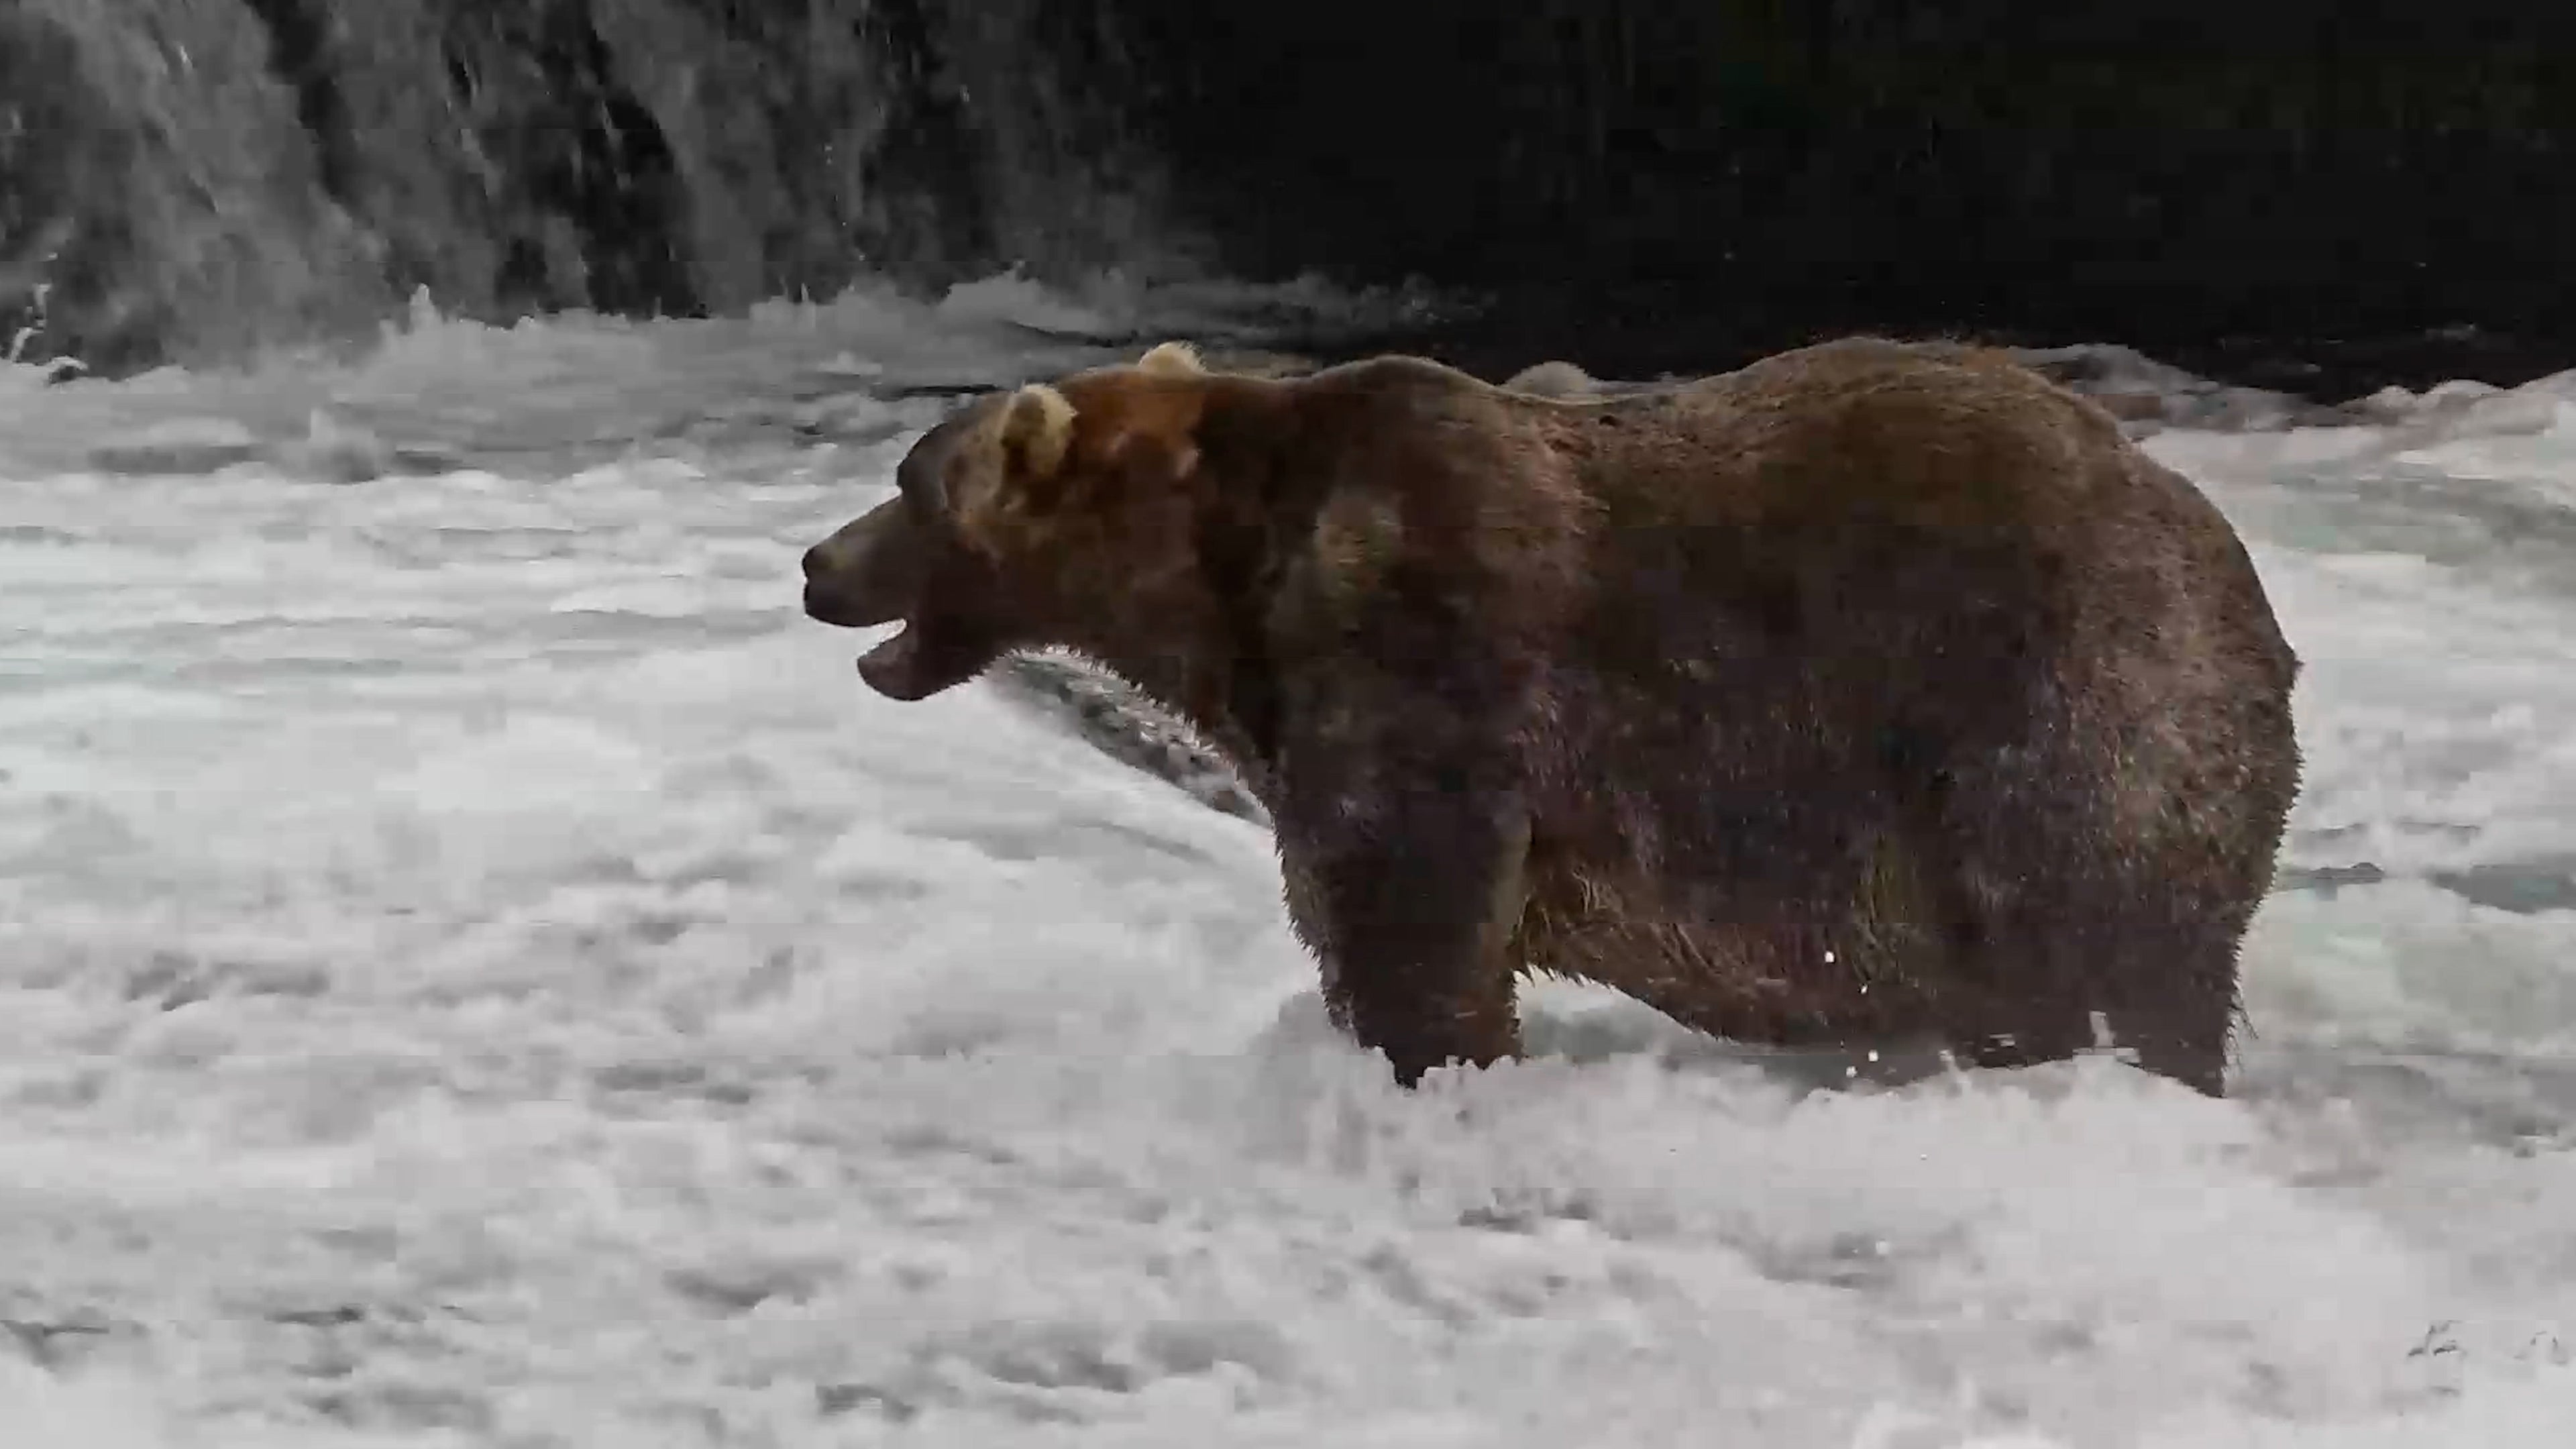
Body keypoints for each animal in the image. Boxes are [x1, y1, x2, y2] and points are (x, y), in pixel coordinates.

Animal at [800, 335, 2303, 1097]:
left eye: (909, 485)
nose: (816, 561)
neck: (1218, 586)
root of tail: (2237, 573)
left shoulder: (1426, 659)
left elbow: (1414, 922)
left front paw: (1436, 1060)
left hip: (2063, 708)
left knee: (2098, 941)